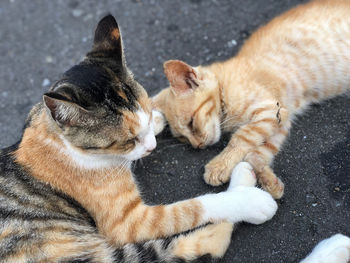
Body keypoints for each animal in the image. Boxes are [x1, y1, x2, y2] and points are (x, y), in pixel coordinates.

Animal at [0, 14, 278, 263]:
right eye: (127, 140)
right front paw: (248, 202)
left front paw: (157, 119)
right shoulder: (128, 222)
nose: (152, 146)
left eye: (146, 110)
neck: (63, 144)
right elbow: (190, 209)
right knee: (187, 246)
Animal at [152, 0, 350, 199]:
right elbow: (256, 152)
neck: (224, 88)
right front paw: (269, 181)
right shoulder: (281, 118)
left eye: (192, 123)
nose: (197, 146)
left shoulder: (269, 109)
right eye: (182, 138)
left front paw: (220, 165)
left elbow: (242, 137)